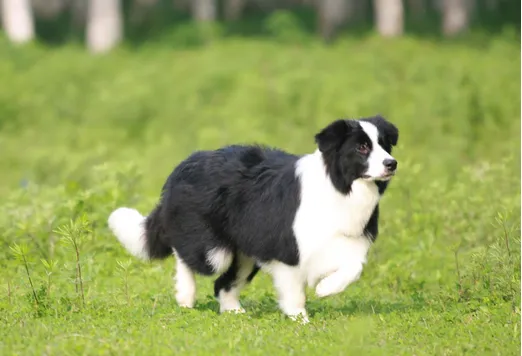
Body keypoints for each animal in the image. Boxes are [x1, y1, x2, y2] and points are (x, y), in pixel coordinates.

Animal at [107, 114, 396, 322]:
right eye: (362, 147)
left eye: (384, 145)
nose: (392, 163)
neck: (341, 187)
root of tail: (185, 163)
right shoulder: (288, 249)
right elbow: (294, 291)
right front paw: (300, 319)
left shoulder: (348, 240)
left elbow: (354, 268)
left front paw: (326, 288)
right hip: (214, 249)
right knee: (187, 256)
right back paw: (185, 297)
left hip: (244, 253)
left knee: (222, 284)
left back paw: (233, 311)